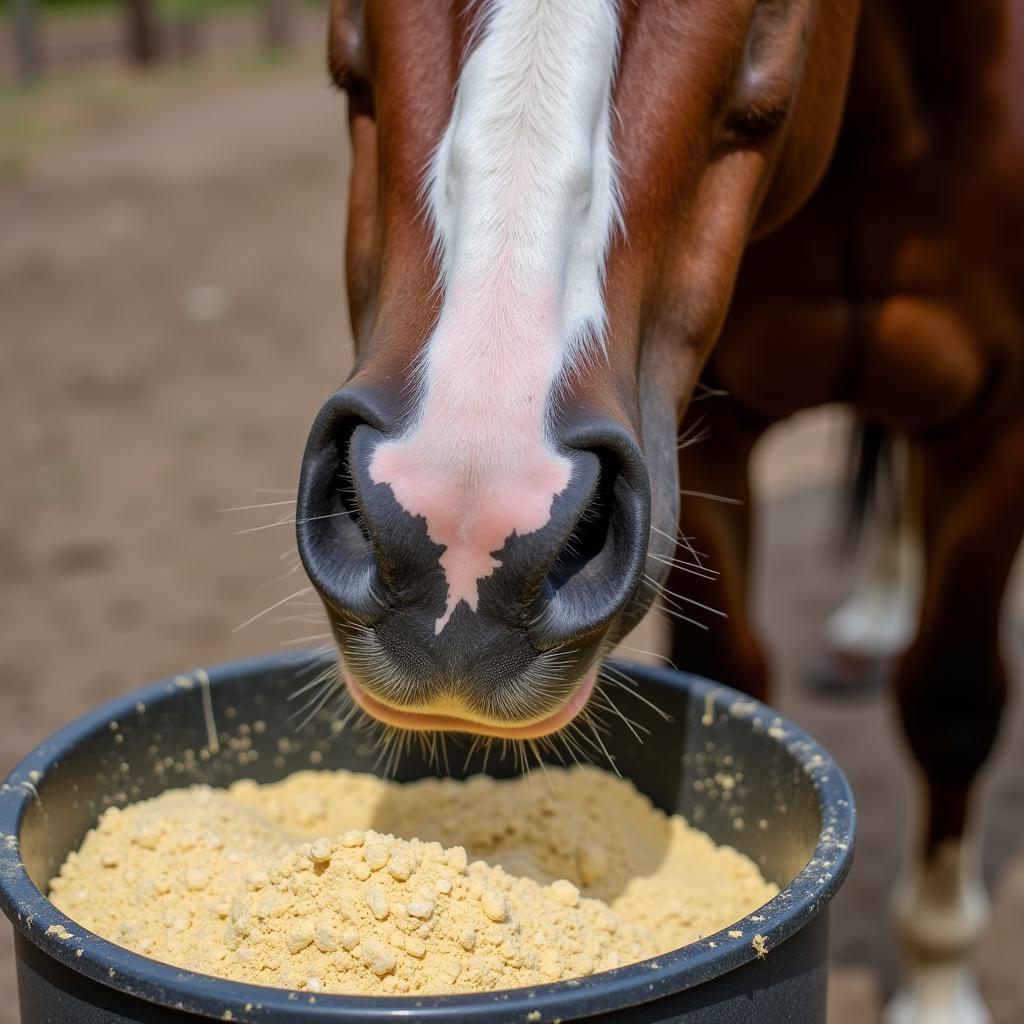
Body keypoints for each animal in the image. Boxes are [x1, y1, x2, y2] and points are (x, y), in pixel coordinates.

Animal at [296, 4, 1024, 1019]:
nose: (461, 535)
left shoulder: (998, 426)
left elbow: (954, 700)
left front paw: (937, 984)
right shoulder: (702, 433)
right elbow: (735, 672)